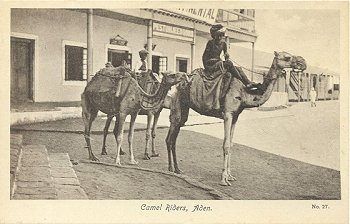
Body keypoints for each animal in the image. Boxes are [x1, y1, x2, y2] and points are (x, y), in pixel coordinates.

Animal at [165, 51, 304, 186]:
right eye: (287, 57)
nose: (303, 62)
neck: (244, 93)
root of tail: (179, 84)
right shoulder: (228, 113)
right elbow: (226, 145)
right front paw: (224, 179)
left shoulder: (236, 116)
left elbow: (231, 144)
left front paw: (230, 176)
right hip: (178, 104)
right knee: (171, 135)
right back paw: (171, 168)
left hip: (184, 108)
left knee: (174, 134)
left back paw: (176, 169)